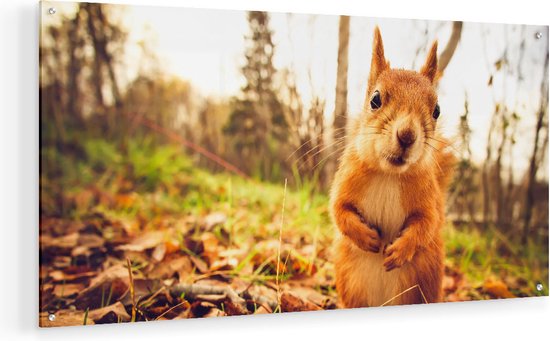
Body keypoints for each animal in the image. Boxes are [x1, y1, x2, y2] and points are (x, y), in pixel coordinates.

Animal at [332, 27, 458, 306]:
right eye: (375, 99)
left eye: (437, 110)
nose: (407, 135)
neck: (388, 174)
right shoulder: (345, 180)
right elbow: (339, 210)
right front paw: (366, 237)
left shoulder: (429, 200)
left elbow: (427, 224)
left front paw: (401, 250)